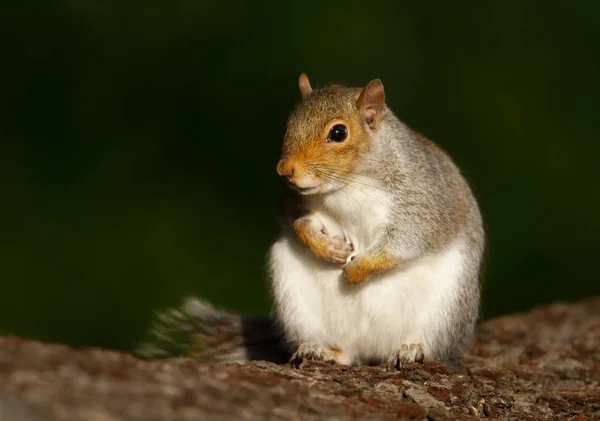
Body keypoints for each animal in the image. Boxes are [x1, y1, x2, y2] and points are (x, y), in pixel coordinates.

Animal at [135, 74, 482, 370]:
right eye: (288, 125)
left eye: (339, 133)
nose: (284, 169)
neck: (348, 185)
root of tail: (371, 350)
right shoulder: (294, 201)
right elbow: (297, 223)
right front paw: (325, 247)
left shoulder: (425, 199)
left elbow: (410, 237)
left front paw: (357, 269)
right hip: (296, 302)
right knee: (345, 352)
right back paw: (324, 351)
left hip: (445, 309)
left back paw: (410, 350)